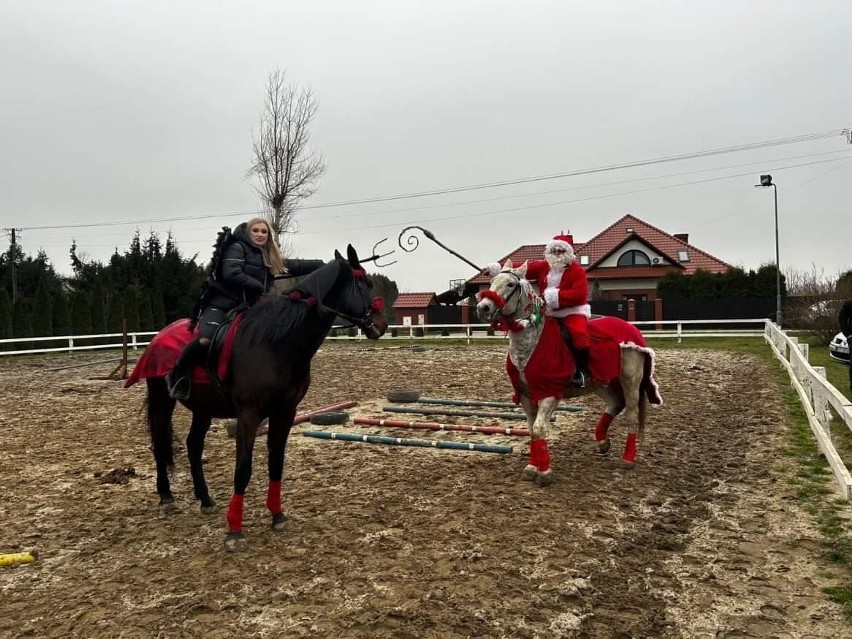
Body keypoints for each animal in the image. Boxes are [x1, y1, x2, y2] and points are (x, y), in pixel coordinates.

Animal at [127, 245, 390, 552]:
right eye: (364, 283)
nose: (381, 325)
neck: (277, 343)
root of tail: (159, 335)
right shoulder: (249, 415)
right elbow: (243, 468)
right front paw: (234, 530)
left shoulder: (286, 412)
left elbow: (276, 462)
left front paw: (277, 514)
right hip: (162, 399)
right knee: (159, 443)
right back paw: (167, 497)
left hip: (203, 408)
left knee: (193, 445)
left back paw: (205, 499)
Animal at [476, 260, 664, 484]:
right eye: (492, 282)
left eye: (511, 284)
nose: (483, 307)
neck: (530, 343)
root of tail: (632, 329)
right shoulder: (525, 395)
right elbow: (532, 431)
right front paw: (532, 467)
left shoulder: (550, 393)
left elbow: (539, 429)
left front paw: (544, 472)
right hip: (601, 381)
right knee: (615, 403)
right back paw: (602, 442)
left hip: (630, 381)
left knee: (632, 416)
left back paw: (627, 458)